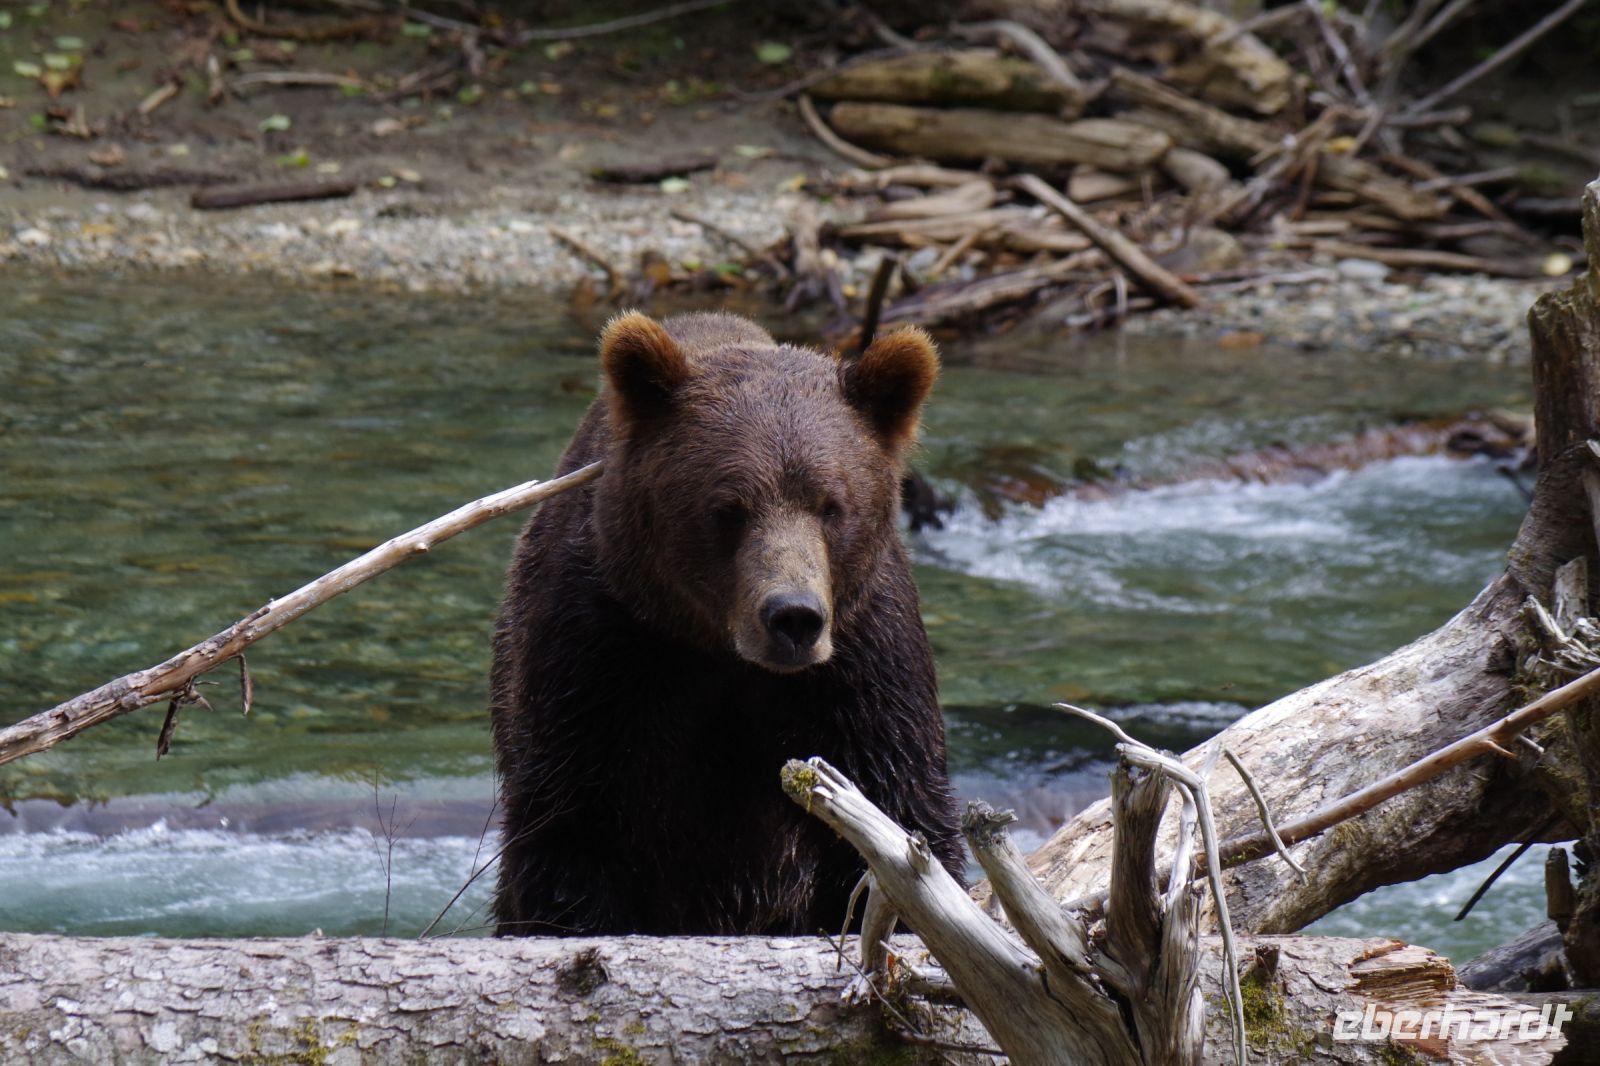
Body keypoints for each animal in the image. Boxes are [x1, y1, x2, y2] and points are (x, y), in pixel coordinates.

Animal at [488, 310, 964, 936]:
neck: (722, 652)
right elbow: (573, 831)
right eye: (729, 508)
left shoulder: (864, 663)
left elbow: (898, 806)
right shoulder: (601, 651)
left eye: (831, 505)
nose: (793, 617)